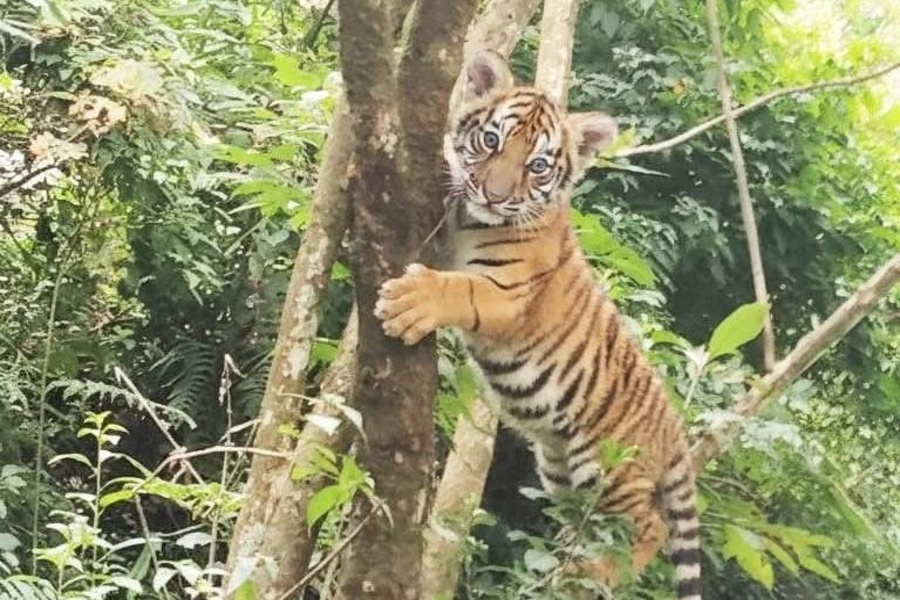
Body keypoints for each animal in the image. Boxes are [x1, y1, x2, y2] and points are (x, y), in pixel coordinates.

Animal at [373, 51, 702, 600]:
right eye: (491, 141)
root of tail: (675, 429)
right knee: (585, 524)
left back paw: (594, 574)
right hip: (559, 470)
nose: (493, 194)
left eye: (538, 166)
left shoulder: (506, 294)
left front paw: (409, 301)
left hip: (608, 467)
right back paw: (562, 566)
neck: (471, 221)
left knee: (647, 527)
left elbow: (458, 289)